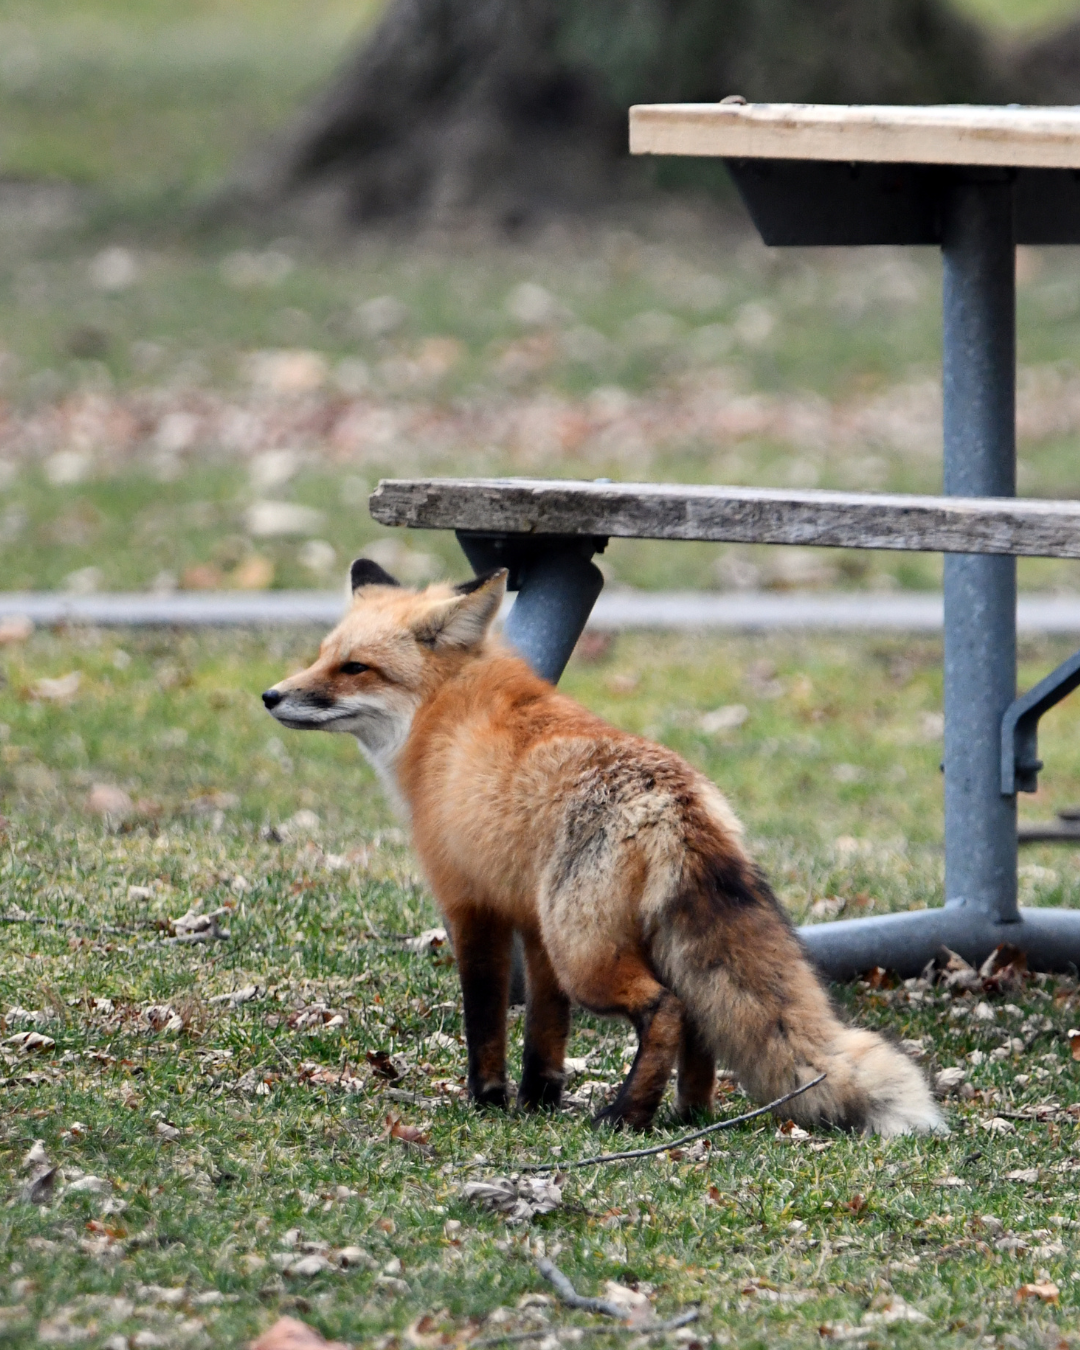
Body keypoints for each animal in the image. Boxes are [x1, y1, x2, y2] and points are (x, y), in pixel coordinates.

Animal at [262, 558, 944, 1136]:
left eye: (354, 668)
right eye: (322, 656)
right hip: (599, 939)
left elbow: (485, 1019)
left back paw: (628, 1115)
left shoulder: (471, 904)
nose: (270, 695)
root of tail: (675, 802)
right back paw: (690, 1113)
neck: (443, 720)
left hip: (586, 954)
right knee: (701, 1020)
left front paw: (487, 1100)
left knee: (667, 1010)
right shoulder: (532, 924)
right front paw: (539, 1099)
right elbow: (546, 1028)